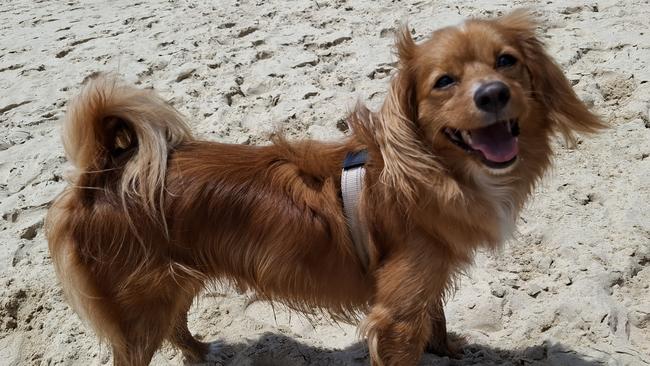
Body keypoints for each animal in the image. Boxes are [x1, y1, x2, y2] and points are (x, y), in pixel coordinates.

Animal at [46, 10, 604, 366]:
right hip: (139, 302)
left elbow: (437, 315)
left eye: (507, 62)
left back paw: (203, 352)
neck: (433, 170)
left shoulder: (422, 283)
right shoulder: (395, 315)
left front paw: (446, 349)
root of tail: (102, 173)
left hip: (175, 278)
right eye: (444, 82)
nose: (493, 93)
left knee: (175, 323)